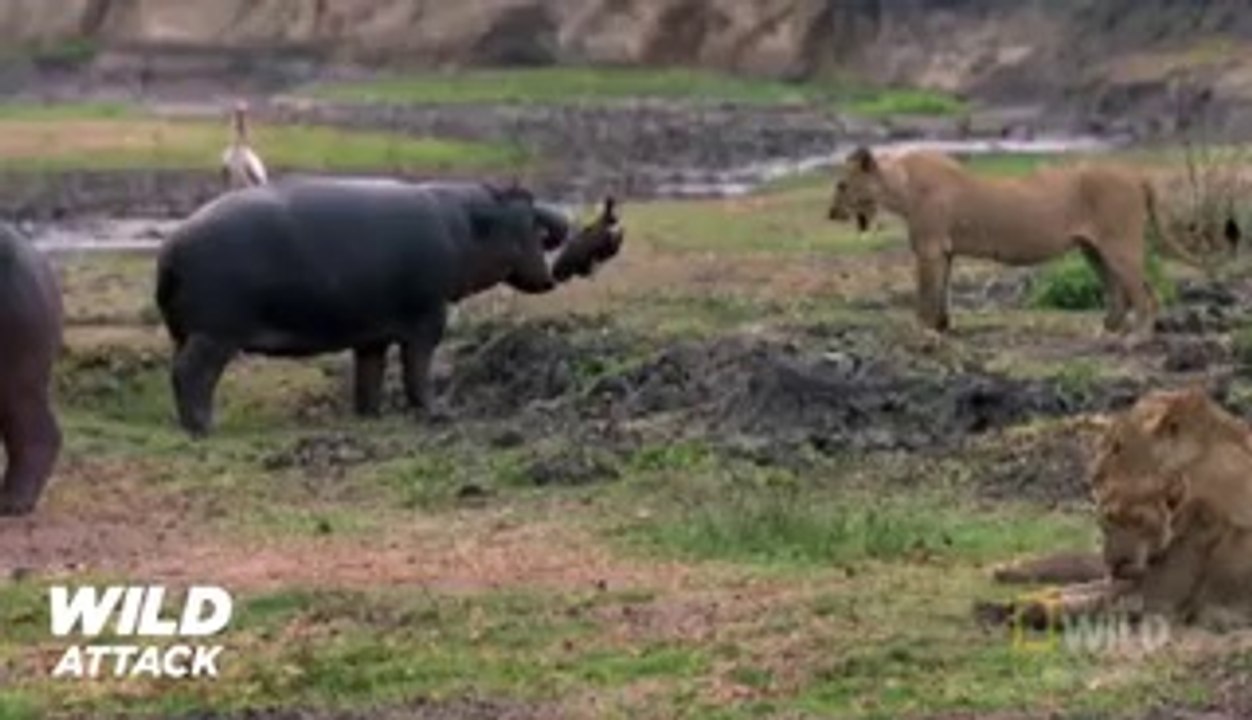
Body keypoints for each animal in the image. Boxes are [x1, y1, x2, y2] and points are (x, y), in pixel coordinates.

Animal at [155, 178, 582, 437]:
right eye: (524, 209)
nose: (561, 223)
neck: (468, 224)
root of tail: (172, 245)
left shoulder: (373, 334)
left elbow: (370, 377)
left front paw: (370, 417)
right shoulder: (428, 322)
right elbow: (417, 371)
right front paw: (439, 413)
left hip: (188, 334)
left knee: (180, 372)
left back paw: (191, 424)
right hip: (214, 336)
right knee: (192, 374)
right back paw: (205, 428)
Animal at [827, 147, 1167, 336]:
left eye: (841, 185)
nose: (831, 214)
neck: (900, 187)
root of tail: (1138, 176)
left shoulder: (929, 248)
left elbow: (926, 292)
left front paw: (922, 330)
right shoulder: (944, 250)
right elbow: (942, 291)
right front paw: (941, 326)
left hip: (1120, 245)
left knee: (1144, 294)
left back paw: (1136, 338)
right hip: (1093, 250)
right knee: (1119, 292)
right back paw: (1106, 332)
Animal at [985, 388, 1252, 629]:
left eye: (1117, 447)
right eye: (1106, 521)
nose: (1091, 475)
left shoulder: (1156, 597)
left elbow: (1090, 599)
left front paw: (1028, 608)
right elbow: (1075, 580)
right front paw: (1011, 586)